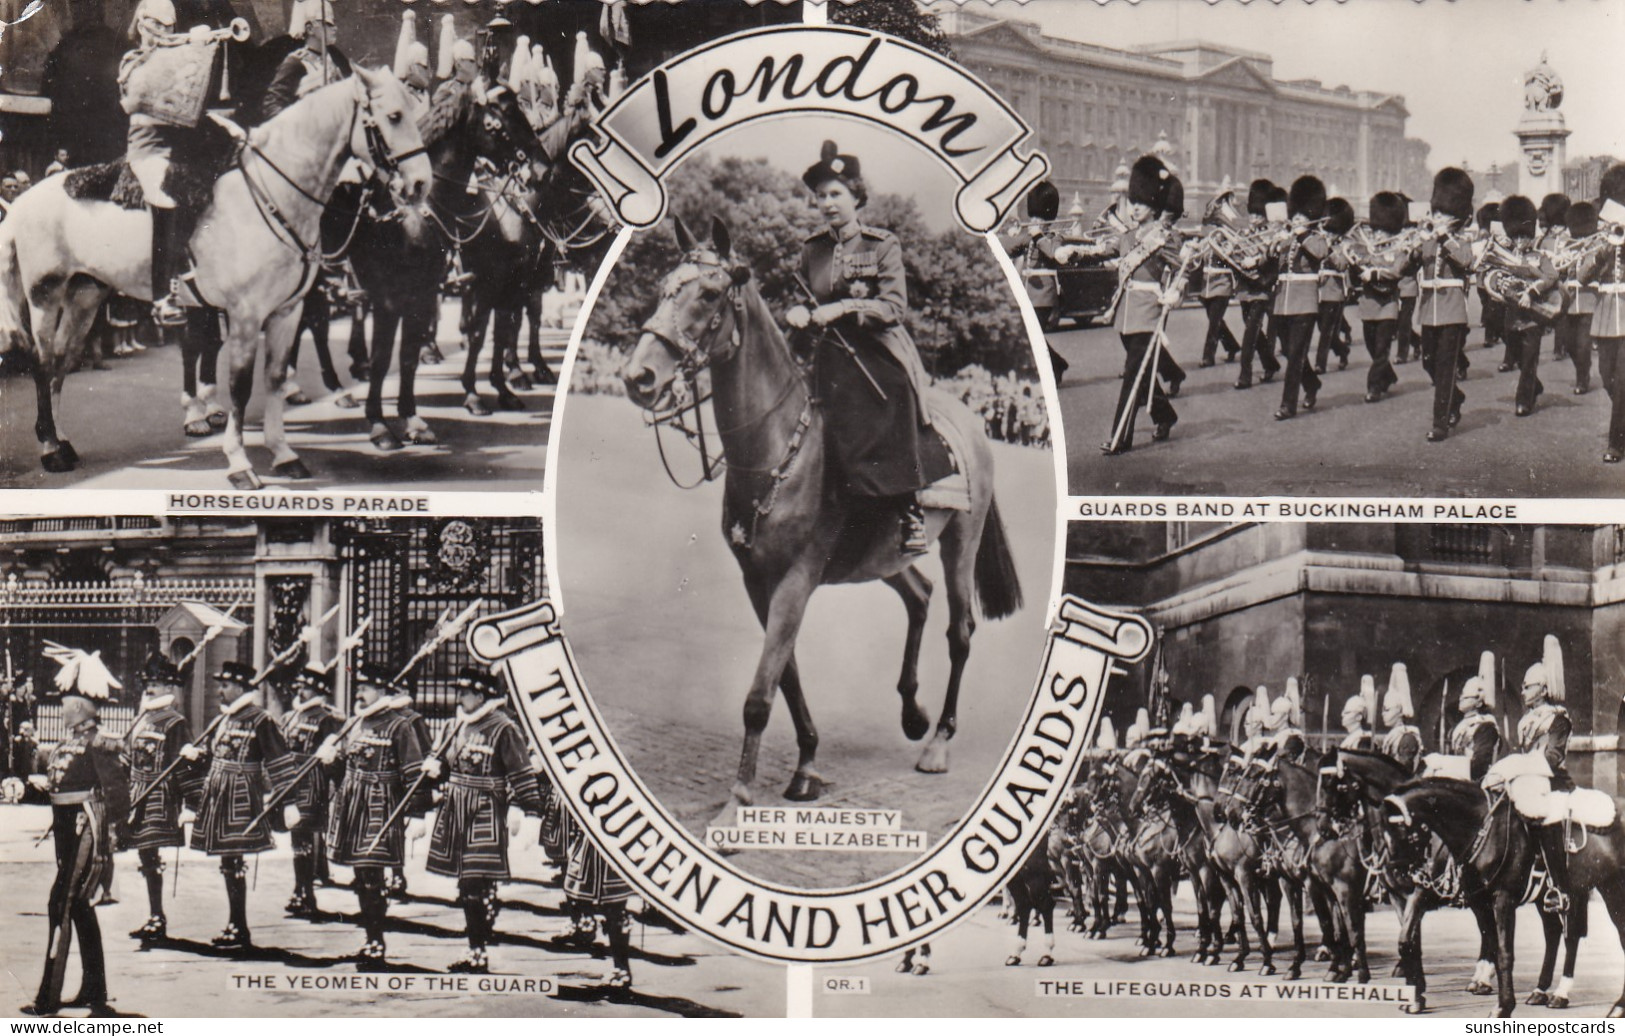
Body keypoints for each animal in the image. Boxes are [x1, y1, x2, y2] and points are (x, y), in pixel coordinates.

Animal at [0, 68, 432, 490]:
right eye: (394, 116)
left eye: (415, 112)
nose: (420, 185)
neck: (273, 196)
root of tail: (22, 201)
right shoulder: (246, 315)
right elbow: (240, 386)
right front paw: (239, 463)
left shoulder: (286, 312)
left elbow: (274, 378)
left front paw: (283, 454)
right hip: (45, 295)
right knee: (43, 362)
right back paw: (50, 449)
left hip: (85, 296)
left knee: (61, 360)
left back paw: (62, 441)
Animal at [614, 219, 1020, 818]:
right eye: (665, 288)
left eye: (708, 294)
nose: (637, 376)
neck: (779, 447)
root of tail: (970, 418)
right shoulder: (759, 583)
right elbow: (786, 676)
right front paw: (806, 765)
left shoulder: (796, 581)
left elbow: (761, 693)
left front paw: (739, 796)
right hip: (882, 556)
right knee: (919, 596)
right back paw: (912, 714)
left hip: (961, 544)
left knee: (960, 630)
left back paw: (938, 740)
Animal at [1384, 782, 1625, 1019]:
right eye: (1385, 834)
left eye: (1406, 833)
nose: (1398, 876)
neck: (1479, 828)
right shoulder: (1451, 896)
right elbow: (1407, 940)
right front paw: (1416, 997)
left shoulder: (1502, 900)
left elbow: (1503, 952)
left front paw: (1503, 1006)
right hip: (1555, 897)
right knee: (1556, 933)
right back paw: (1544, 992)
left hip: (1610, 889)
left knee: (1585, 936)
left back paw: (1612, 1005)